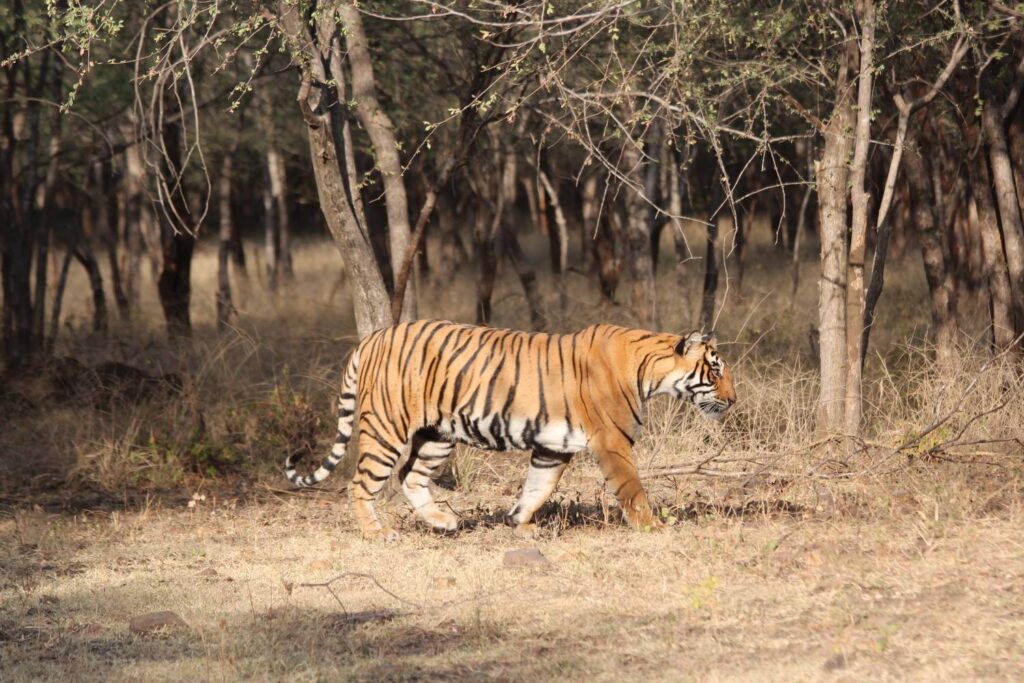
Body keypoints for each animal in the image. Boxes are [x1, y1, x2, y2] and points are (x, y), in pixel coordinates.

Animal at [286, 321, 737, 540]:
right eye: (715, 371)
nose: (734, 401)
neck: (648, 370)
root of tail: (373, 337)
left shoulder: (554, 448)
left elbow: (538, 488)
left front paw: (519, 522)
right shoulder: (613, 442)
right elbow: (633, 490)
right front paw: (652, 527)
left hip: (437, 434)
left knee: (410, 476)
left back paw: (443, 522)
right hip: (387, 427)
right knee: (361, 483)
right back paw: (378, 533)